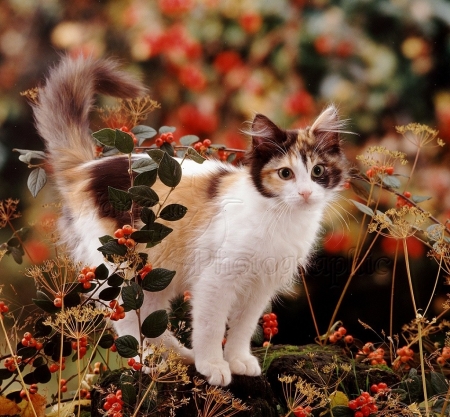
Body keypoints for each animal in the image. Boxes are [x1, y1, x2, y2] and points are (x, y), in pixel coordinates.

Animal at [30, 54, 348, 384]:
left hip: (151, 274)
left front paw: (237, 359)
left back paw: (177, 356)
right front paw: (213, 365)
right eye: (285, 174)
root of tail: (86, 169)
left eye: (318, 171)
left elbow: (243, 327)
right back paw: (153, 362)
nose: (305, 193)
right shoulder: (215, 279)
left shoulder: (260, 286)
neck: (280, 217)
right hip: (119, 267)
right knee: (129, 320)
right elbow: (211, 326)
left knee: (150, 319)